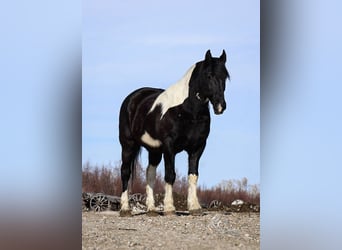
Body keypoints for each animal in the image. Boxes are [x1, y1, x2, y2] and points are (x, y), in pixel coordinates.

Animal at [118, 49, 230, 216]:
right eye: (209, 75)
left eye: (225, 77)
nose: (220, 106)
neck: (187, 110)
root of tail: (132, 98)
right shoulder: (169, 147)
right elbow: (170, 175)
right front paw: (170, 208)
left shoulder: (198, 147)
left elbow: (193, 175)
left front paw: (194, 207)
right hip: (128, 145)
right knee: (125, 172)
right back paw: (125, 209)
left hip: (154, 150)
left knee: (150, 174)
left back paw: (151, 209)